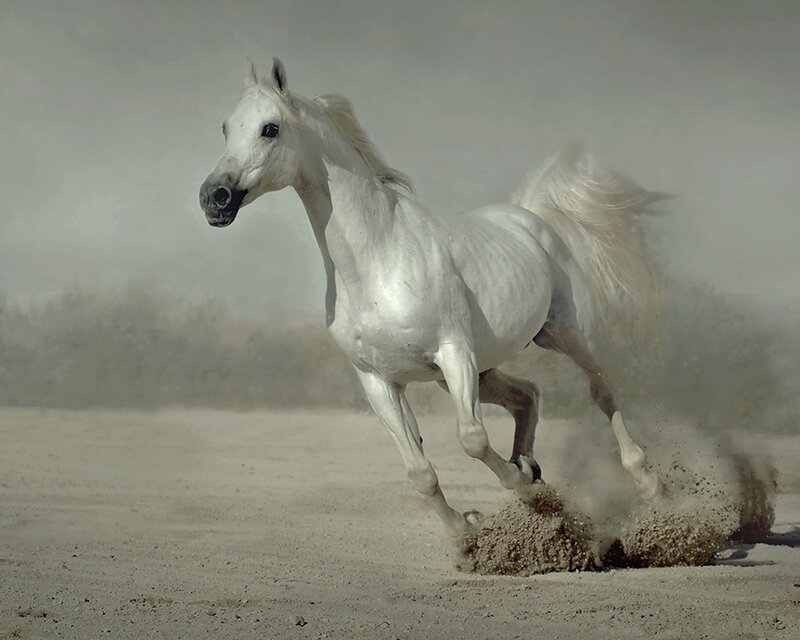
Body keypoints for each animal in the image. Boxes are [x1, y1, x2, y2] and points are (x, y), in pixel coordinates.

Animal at [199, 59, 664, 537]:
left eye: (269, 128)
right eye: (225, 128)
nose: (214, 198)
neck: (378, 260)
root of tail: (529, 218)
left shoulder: (453, 352)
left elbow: (472, 439)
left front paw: (519, 488)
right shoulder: (379, 381)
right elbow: (419, 471)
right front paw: (469, 530)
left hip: (564, 336)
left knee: (601, 390)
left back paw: (647, 484)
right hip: (479, 370)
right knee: (528, 395)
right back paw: (532, 469)